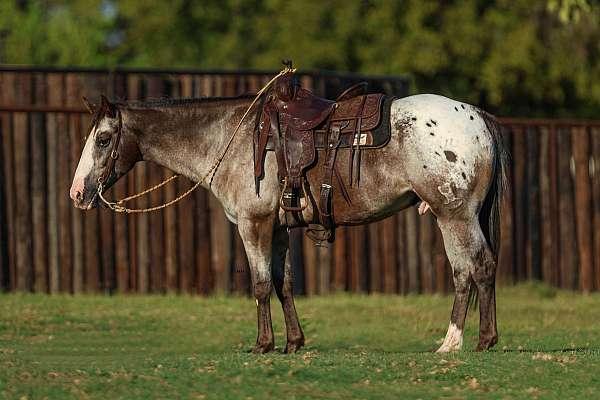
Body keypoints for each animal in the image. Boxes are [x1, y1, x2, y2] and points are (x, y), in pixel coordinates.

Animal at [72, 87, 508, 354]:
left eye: (104, 139)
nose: (77, 193)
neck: (231, 138)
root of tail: (476, 115)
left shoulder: (254, 224)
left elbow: (261, 284)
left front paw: (263, 344)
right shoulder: (280, 228)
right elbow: (285, 284)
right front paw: (294, 342)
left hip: (454, 215)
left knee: (475, 268)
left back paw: (463, 341)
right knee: (472, 270)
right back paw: (473, 340)